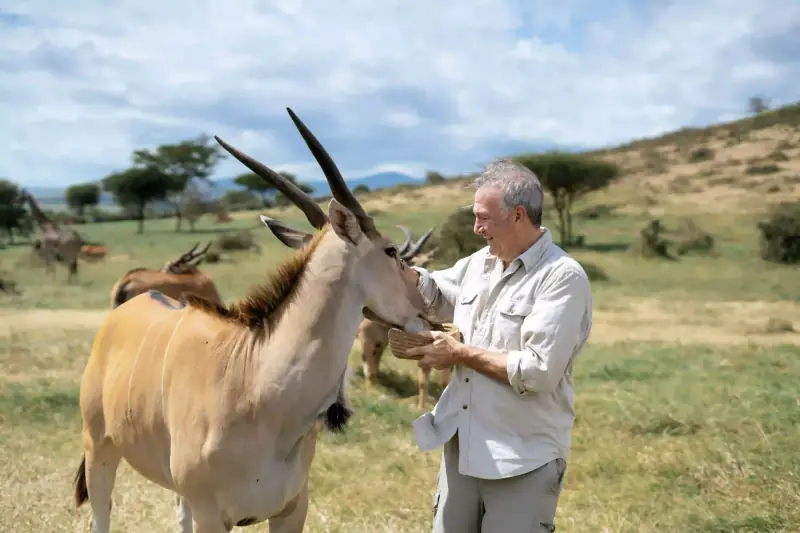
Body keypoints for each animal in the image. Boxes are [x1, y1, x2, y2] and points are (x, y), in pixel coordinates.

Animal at [73, 107, 433, 533]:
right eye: (391, 251)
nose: (425, 311)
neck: (257, 383)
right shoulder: (213, 515)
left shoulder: (291, 509)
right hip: (99, 450)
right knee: (102, 512)